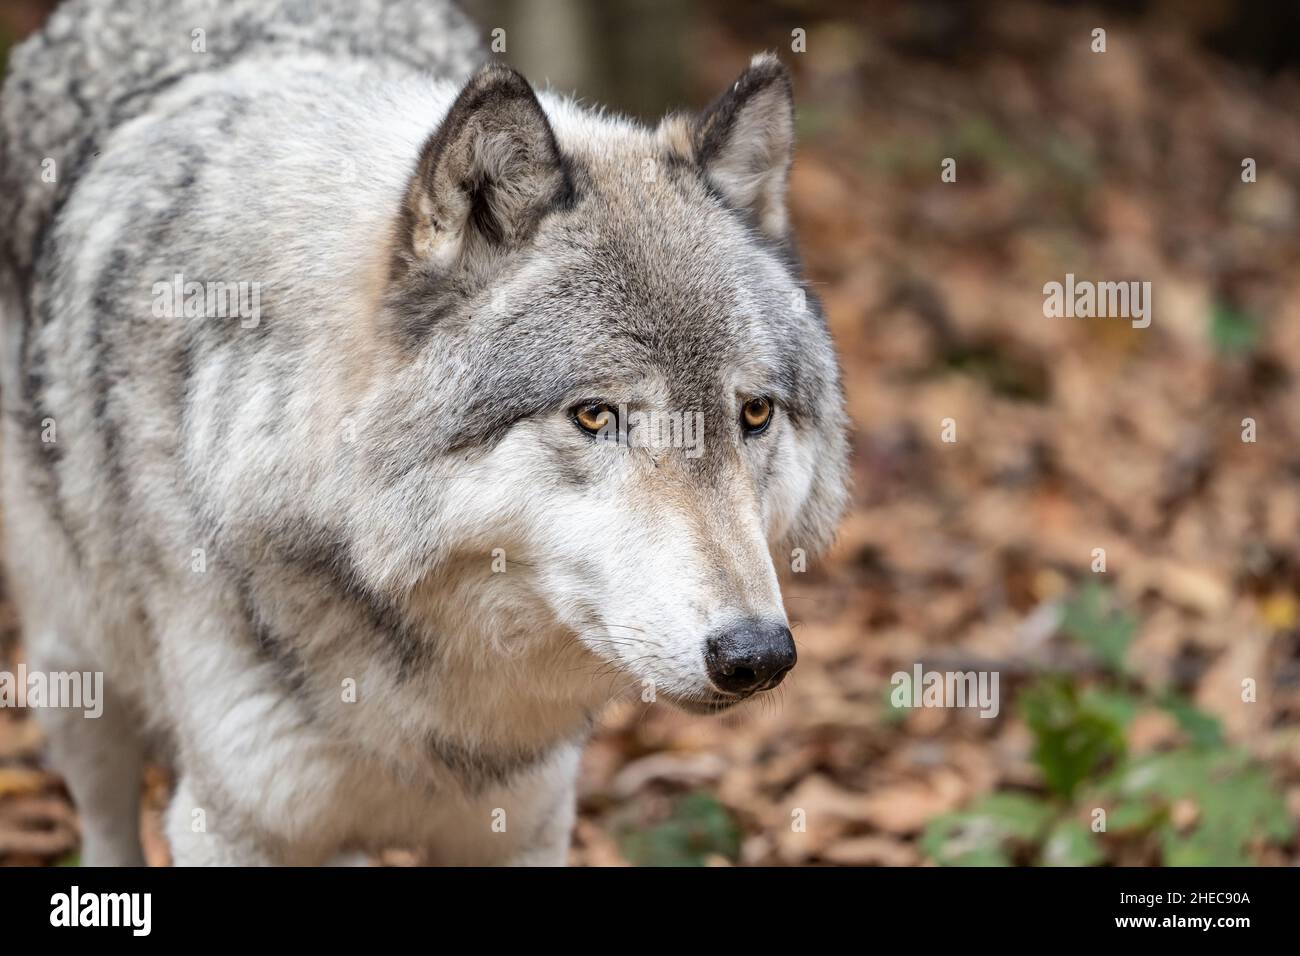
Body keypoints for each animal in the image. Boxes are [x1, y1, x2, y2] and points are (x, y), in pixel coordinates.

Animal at [0, 0, 849, 866]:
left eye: (753, 414)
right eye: (593, 414)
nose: (756, 655)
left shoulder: (523, 824)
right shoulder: (232, 827)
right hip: (74, 678)